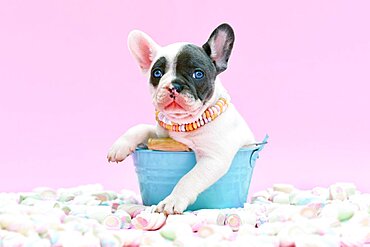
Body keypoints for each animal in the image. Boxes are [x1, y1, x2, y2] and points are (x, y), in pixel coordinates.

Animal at [108, 24, 256, 215]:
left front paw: (172, 200)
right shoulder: (160, 135)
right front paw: (120, 146)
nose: (174, 85)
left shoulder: (213, 157)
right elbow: (141, 127)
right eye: (157, 73)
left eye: (198, 74)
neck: (185, 123)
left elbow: (190, 178)